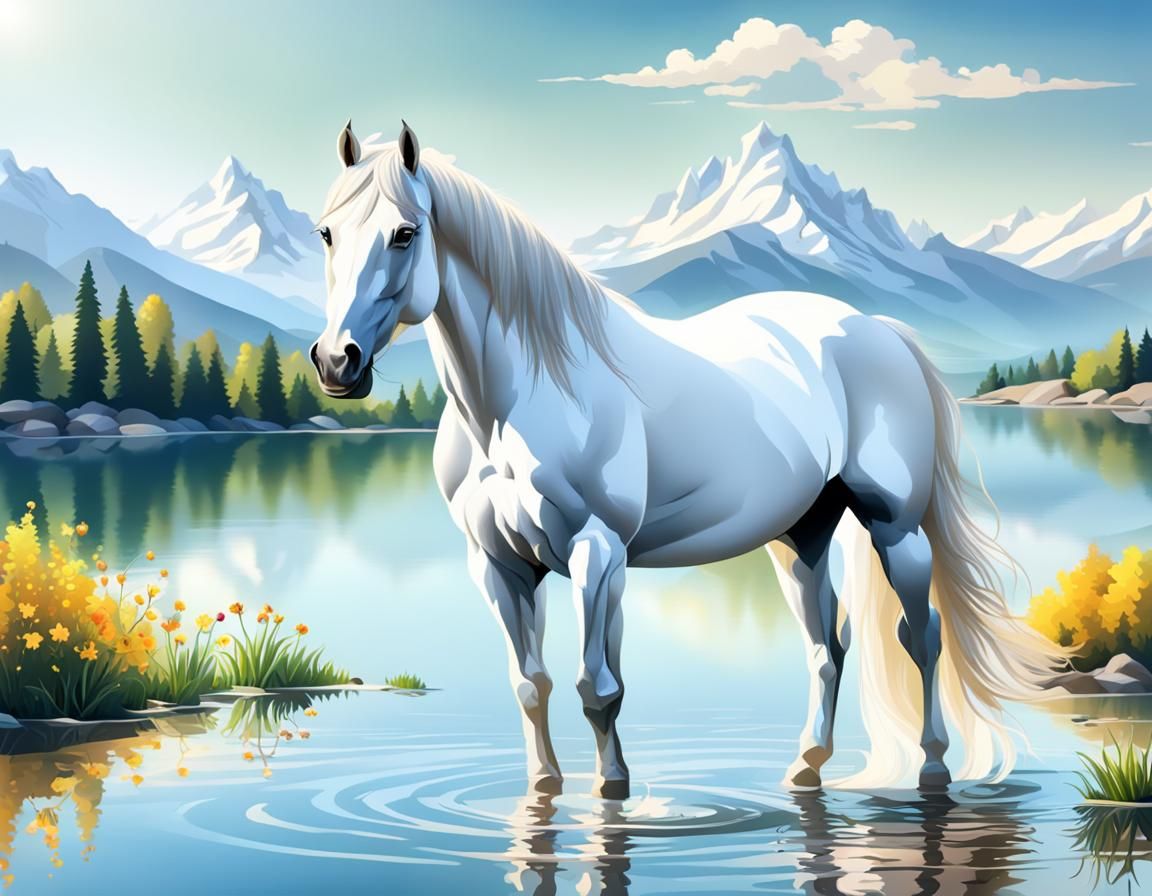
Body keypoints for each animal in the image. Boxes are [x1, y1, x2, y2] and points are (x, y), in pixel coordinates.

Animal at [309, 120, 1065, 798]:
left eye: (405, 233)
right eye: (326, 233)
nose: (337, 361)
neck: (518, 400)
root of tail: (878, 329)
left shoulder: (597, 553)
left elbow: (597, 687)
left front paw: (613, 789)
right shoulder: (499, 565)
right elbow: (531, 684)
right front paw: (543, 787)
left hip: (894, 527)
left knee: (923, 636)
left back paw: (933, 766)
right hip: (801, 539)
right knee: (828, 645)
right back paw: (807, 766)